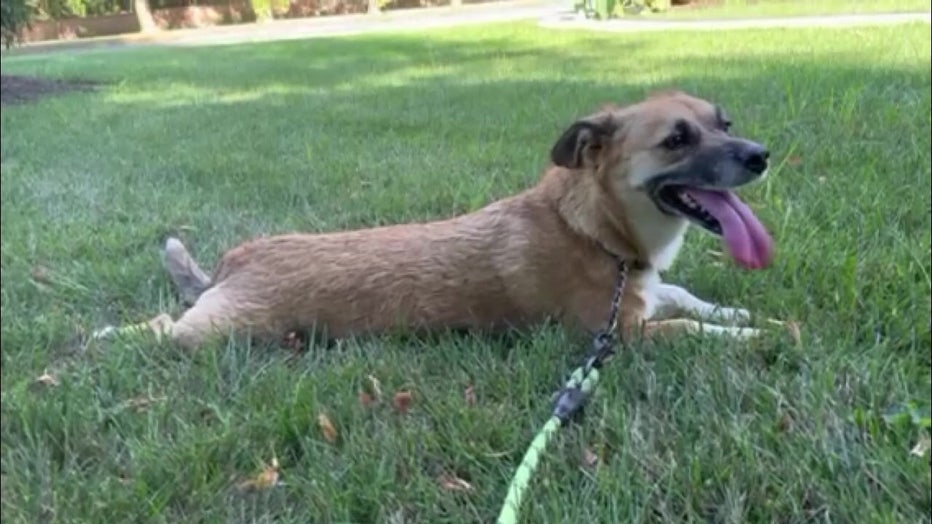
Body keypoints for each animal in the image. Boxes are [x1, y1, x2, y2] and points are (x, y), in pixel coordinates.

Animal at [98, 90, 780, 350]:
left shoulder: (646, 293)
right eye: (676, 140)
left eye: (724, 121)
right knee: (163, 326)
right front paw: (760, 336)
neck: (593, 228)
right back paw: (112, 336)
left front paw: (742, 313)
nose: (760, 155)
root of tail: (236, 260)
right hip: (216, 330)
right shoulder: (619, 334)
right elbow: (691, 327)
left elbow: (688, 297)